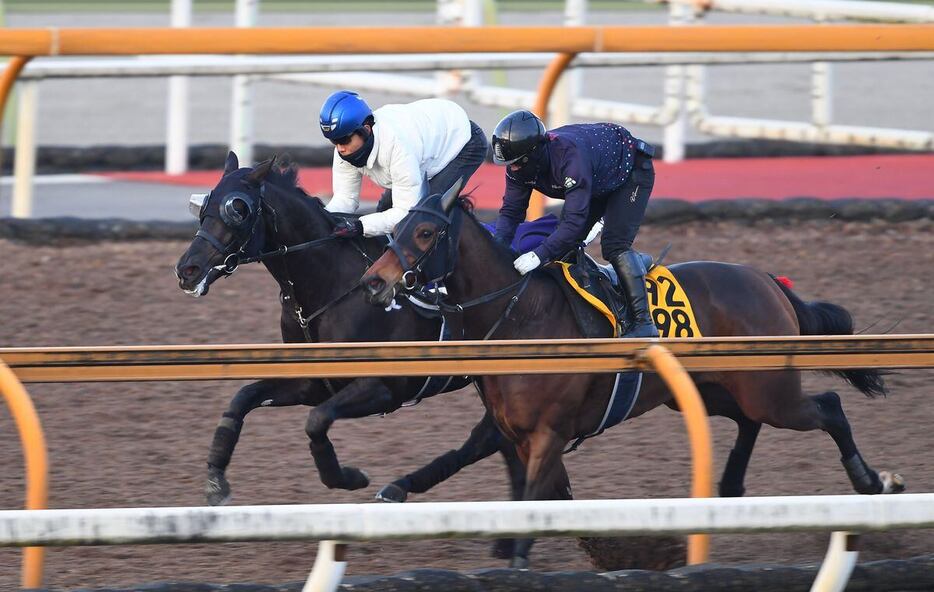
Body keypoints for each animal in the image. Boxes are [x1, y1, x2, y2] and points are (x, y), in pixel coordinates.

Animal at [175, 151, 528, 536]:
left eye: (237, 209)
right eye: (204, 205)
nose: (187, 270)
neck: (330, 285)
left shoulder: (385, 387)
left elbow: (316, 421)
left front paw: (347, 477)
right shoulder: (312, 382)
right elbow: (242, 399)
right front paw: (216, 481)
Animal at [360, 182, 908, 568]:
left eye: (425, 233)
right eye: (397, 227)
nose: (373, 282)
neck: (522, 317)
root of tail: (767, 280)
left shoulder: (549, 432)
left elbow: (536, 498)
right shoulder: (512, 429)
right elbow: (504, 476)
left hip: (769, 392)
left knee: (828, 407)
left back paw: (871, 482)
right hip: (710, 390)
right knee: (748, 422)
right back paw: (730, 487)